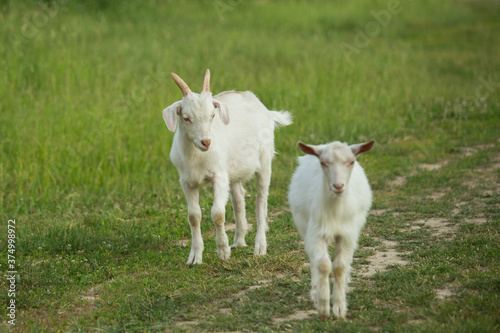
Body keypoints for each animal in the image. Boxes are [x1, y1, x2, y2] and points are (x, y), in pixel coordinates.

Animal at [162, 69, 292, 264]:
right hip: (234, 171)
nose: (206, 142)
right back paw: (239, 241)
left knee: (261, 202)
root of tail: (265, 109)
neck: (196, 157)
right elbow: (194, 217)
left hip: (265, 162)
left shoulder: (219, 176)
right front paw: (195, 257)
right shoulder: (187, 181)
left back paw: (260, 247)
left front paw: (223, 252)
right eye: (186, 118)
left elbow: (217, 213)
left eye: (212, 116)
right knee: (238, 199)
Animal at [288, 139, 374, 318]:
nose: (338, 186)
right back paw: (315, 291)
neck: (335, 208)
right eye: (323, 163)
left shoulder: (347, 235)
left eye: (351, 162)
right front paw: (323, 306)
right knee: (313, 259)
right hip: (304, 226)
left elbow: (340, 266)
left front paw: (339, 307)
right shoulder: (316, 233)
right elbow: (323, 265)